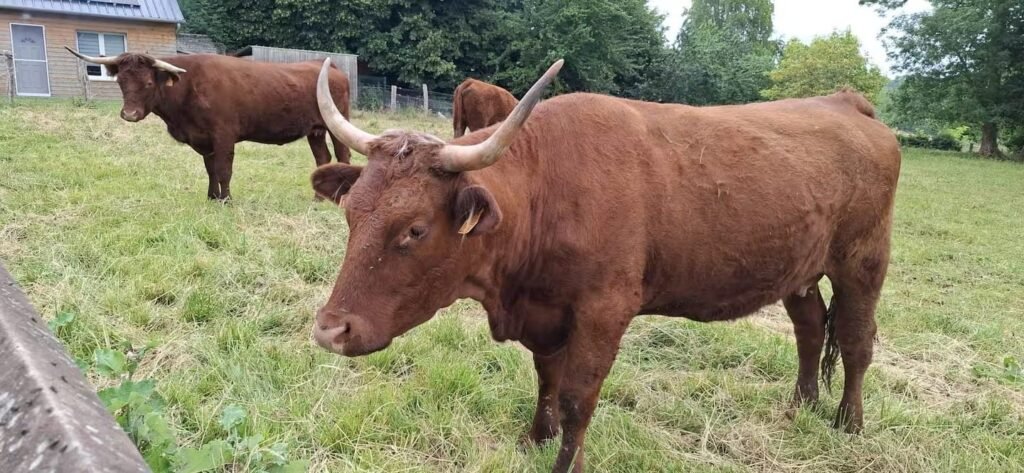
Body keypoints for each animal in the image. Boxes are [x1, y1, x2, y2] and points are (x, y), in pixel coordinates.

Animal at [66, 48, 352, 201]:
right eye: (121, 82)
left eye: (148, 83)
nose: (130, 114)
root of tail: (326, 65)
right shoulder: (204, 140)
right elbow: (211, 170)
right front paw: (212, 197)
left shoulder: (223, 135)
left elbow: (224, 170)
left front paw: (226, 200)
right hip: (315, 130)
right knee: (323, 158)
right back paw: (319, 198)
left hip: (337, 123)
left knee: (343, 155)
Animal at [309, 58, 901, 473]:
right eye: (350, 212)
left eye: (415, 229)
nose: (330, 330)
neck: (548, 187)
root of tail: (846, 103)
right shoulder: (547, 312)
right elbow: (547, 377)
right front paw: (535, 437)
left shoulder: (604, 310)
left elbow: (577, 397)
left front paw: (565, 460)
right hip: (798, 267)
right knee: (809, 327)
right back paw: (800, 407)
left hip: (863, 260)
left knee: (855, 338)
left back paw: (848, 423)